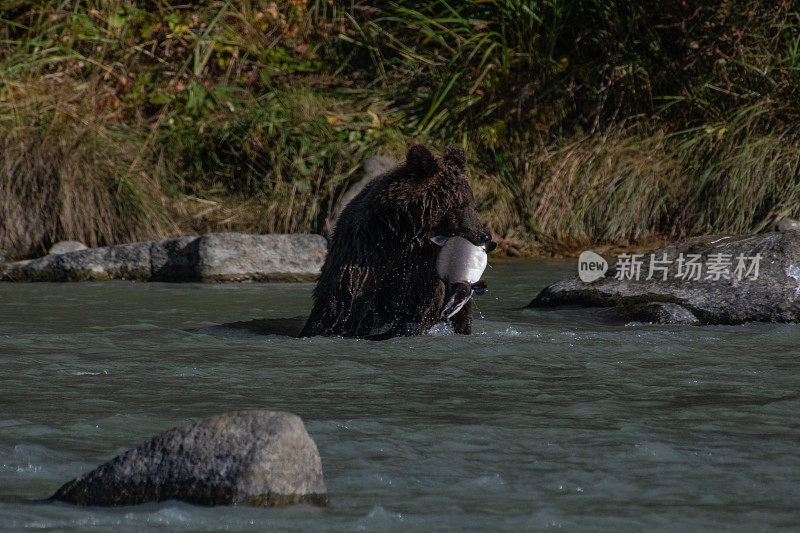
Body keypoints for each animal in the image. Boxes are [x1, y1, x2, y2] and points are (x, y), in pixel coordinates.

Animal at [298, 144, 490, 336]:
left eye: (472, 205)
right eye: (458, 206)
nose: (484, 235)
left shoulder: (423, 274)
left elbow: (421, 310)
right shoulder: (362, 261)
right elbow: (335, 310)